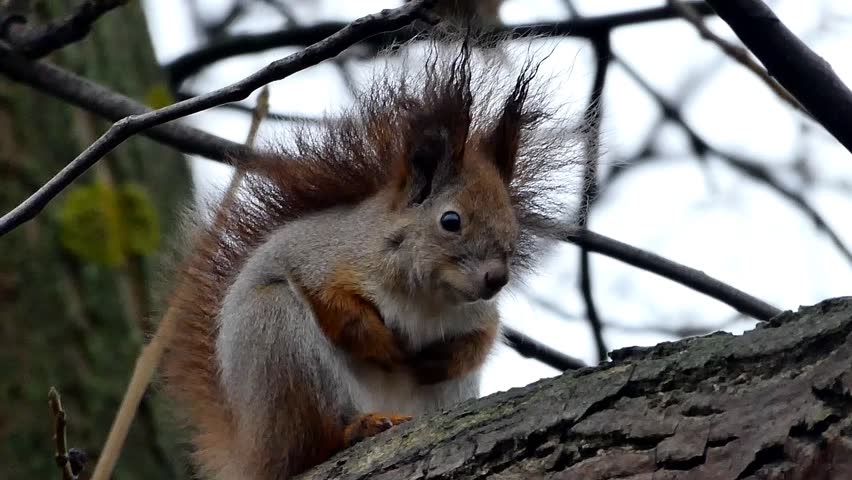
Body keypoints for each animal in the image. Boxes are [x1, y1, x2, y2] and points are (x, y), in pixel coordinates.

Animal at [161, 37, 579, 480]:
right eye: (450, 221)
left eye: (512, 227)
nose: (496, 279)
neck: (426, 298)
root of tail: (252, 452)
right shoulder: (319, 260)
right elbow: (337, 306)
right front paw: (384, 345)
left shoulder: (477, 313)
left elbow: (483, 336)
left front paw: (438, 360)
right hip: (279, 344)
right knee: (313, 442)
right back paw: (360, 426)